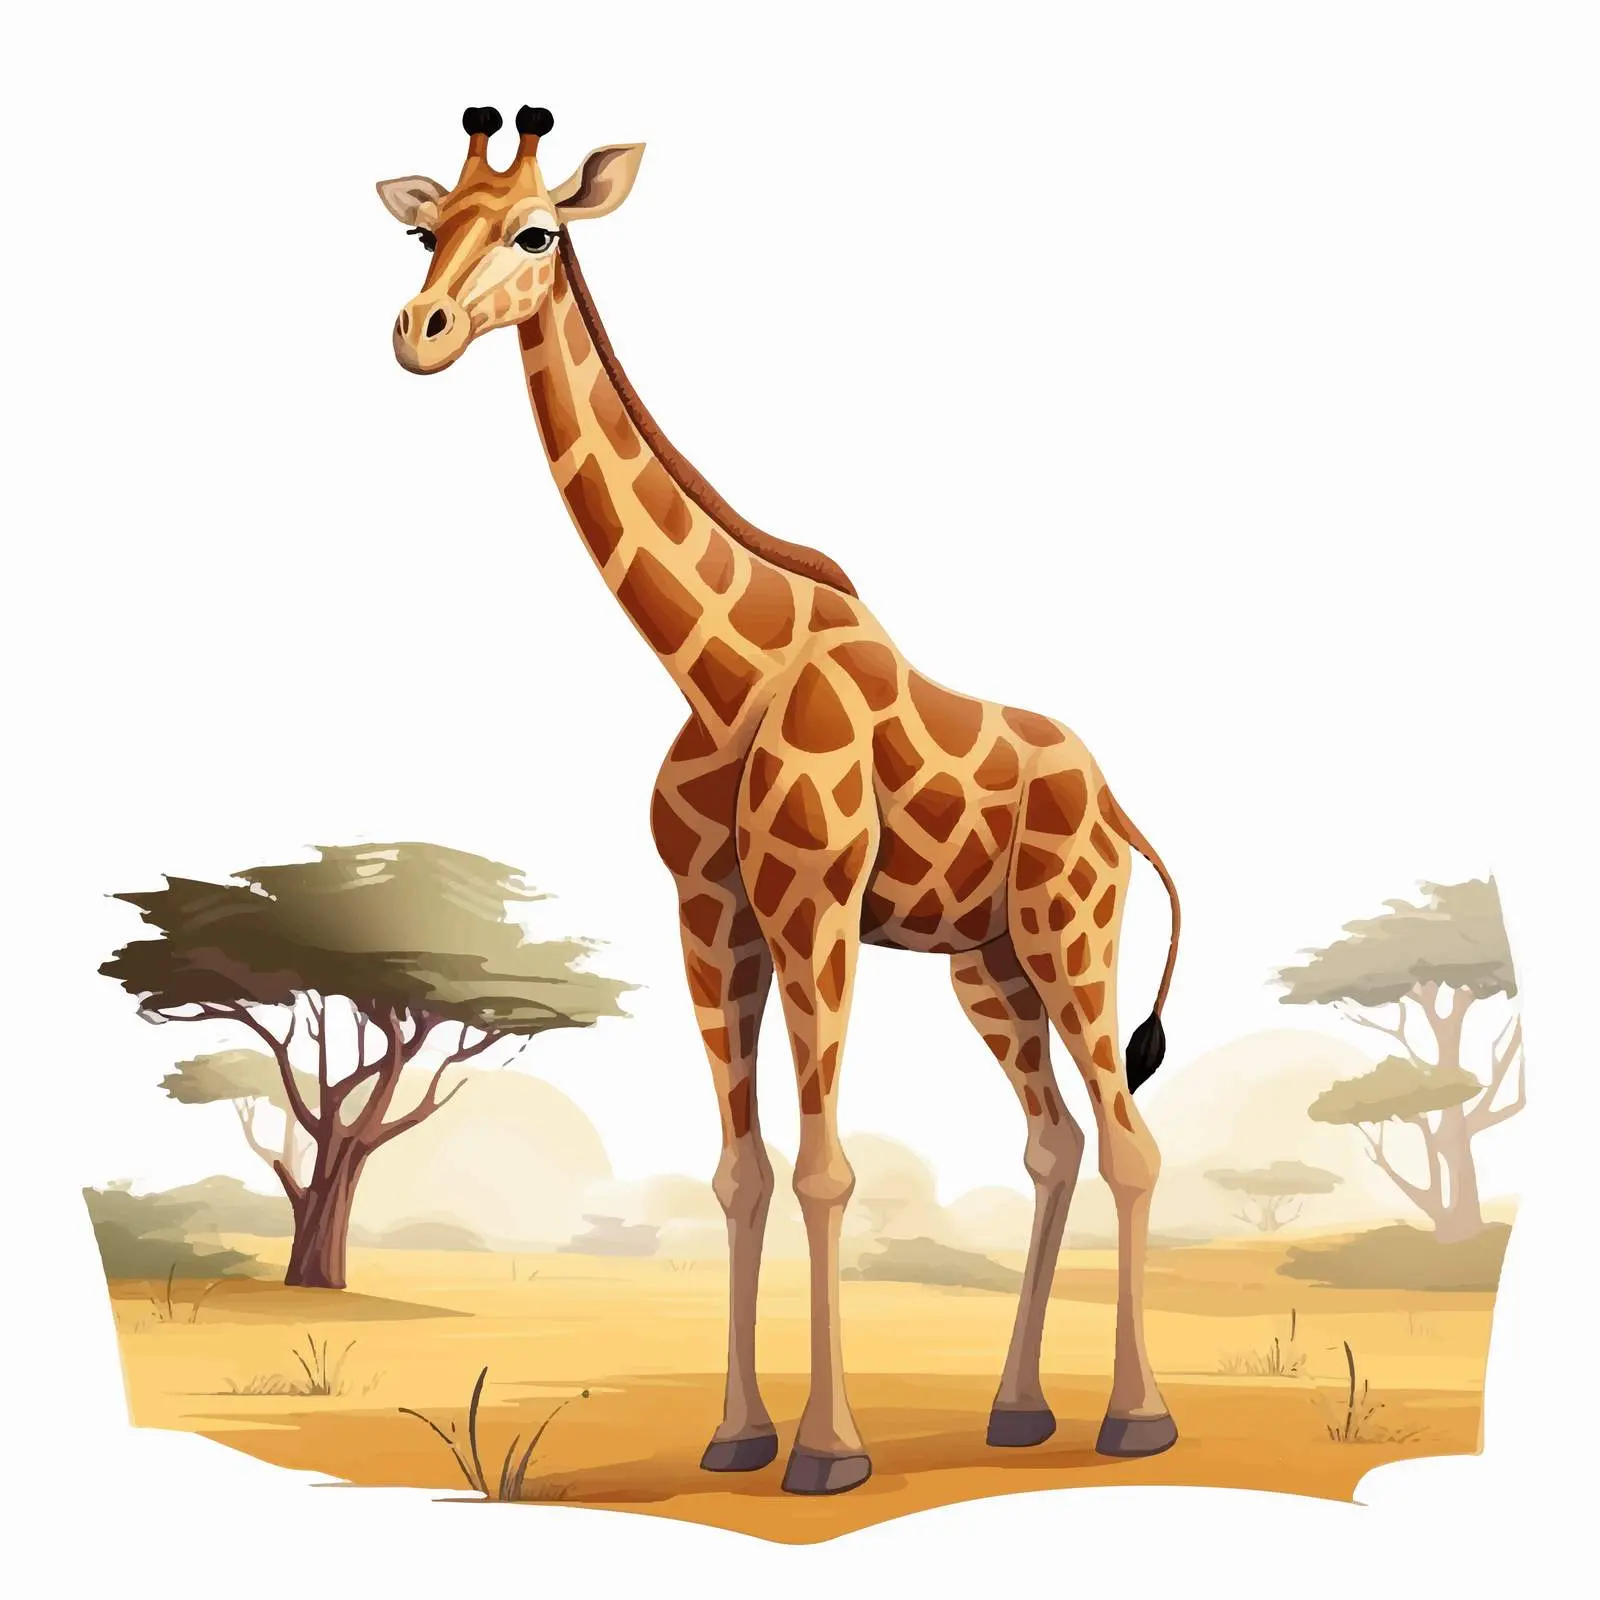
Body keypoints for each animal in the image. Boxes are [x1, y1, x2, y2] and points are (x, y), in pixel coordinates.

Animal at [379, 106, 1184, 1495]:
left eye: (537, 232)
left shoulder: (813, 908)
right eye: (427, 234)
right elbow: (739, 1176)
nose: (418, 330)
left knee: (1126, 1137)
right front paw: (736, 1433)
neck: (722, 667)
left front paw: (827, 1447)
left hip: (1070, 934)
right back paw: (1018, 1409)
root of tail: (1120, 807)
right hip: (987, 963)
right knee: (1055, 1141)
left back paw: (1135, 1418)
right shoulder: (712, 919)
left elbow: (821, 1172)